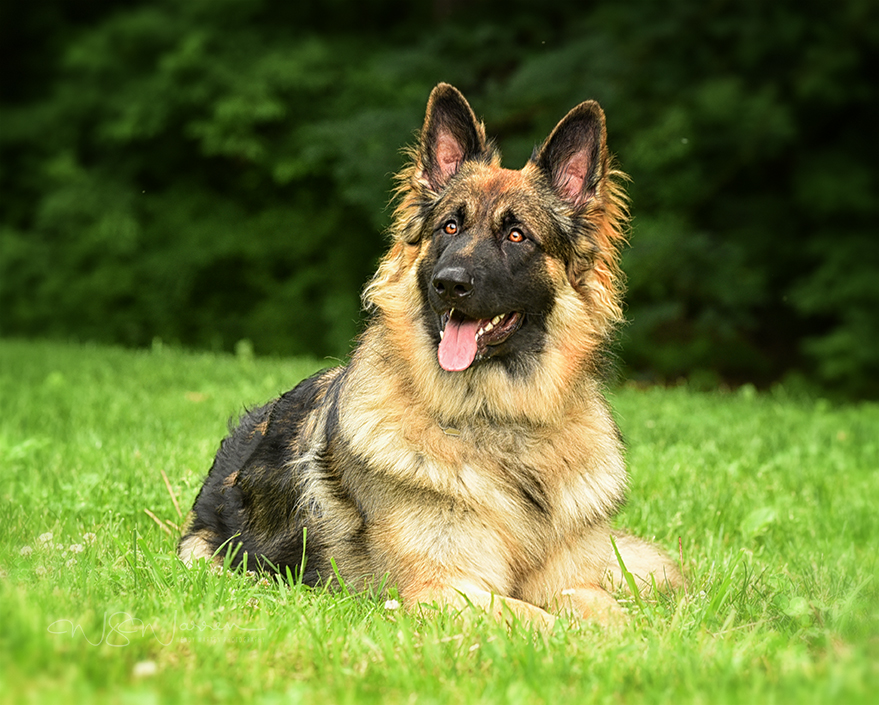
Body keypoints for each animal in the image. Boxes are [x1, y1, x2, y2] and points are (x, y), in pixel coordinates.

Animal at [179, 84, 680, 628]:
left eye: (517, 235)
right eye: (449, 227)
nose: (449, 283)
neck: (500, 419)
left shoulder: (576, 582)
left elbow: (612, 615)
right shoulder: (444, 588)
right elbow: (540, 621)